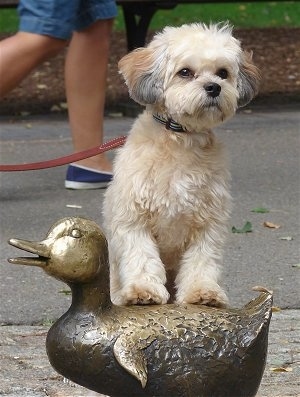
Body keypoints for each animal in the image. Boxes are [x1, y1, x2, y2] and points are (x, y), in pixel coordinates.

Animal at [102, 22, 258, 306]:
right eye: (185, 72)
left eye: (223, 73)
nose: (213, 87)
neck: (181, 141)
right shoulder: (133, 219)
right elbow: (141, 256)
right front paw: (143, 289)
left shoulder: (208, 224)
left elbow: (202, 261)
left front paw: (202, 292)